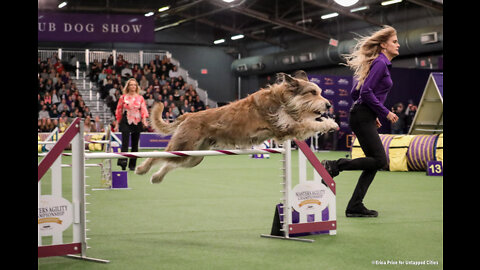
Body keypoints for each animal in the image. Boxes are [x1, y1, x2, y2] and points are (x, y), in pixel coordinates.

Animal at [135, 70, 338, 184]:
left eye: (319, 92)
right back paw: (142, 169)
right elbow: (309, 123)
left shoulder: (286, 128)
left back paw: (156, 178)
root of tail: (189, 115)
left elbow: (309, 122)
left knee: (170, 163)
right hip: (183, 146)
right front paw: (331, 123)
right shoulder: (285, 127)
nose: (328, 105)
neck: (283, 100)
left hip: (194, 156)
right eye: (312, 92)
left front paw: (329, 123)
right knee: (157, 155)